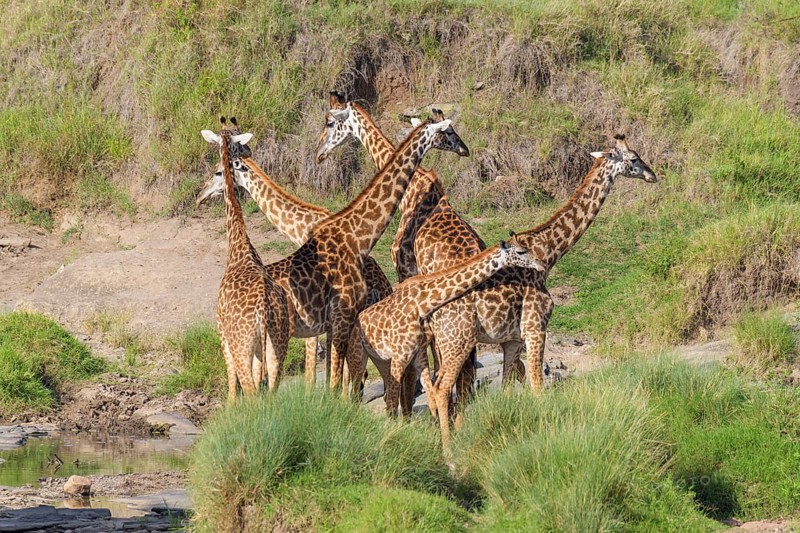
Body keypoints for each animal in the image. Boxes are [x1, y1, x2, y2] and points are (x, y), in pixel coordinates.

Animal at [200, 117, 289, 403]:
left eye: (217, 171)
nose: (249, 155)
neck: (239, 247)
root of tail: (263, 311)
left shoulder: (222, 333)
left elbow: (231, 388)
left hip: (242, 346)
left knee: (248, 390)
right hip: (276, 346)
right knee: (270, 389)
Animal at [345, 238, 545, 441]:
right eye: (520, 252)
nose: (540, 263)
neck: (422, 303)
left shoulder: (417, 354)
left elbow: (429, 393)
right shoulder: (401, 355)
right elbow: (398, 396)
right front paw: (393, 433)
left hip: (381, 360)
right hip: (358, 354)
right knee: (356, 387)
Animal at [425, 134, 657, 437]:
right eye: (633, 158)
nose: (652, 175)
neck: (548, 253)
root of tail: (431, 314)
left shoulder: (512, 339)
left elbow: (508, 387)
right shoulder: (536, 328)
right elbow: (537, 387)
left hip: (446, 345)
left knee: (440, 388)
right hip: (458, 342)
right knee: (442, 388)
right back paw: (449, 446)